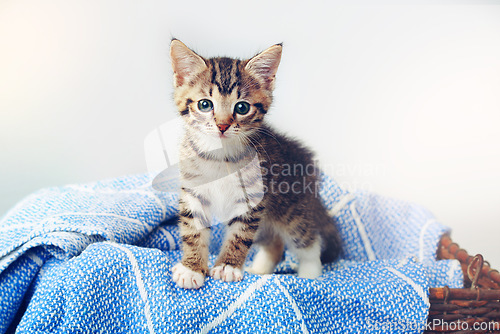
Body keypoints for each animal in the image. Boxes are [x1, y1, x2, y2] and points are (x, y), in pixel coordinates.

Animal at [169, 39, 340, 290]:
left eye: (242, 108)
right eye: (204, 104)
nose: (222, 126)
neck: (220, 156)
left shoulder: (253, 197)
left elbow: (240, 235)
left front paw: (227, 266)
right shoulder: (194, 191)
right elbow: (193, 230)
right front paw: (192, 268)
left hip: (293, 210)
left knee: (308, 239)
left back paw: (310, 274)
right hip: (268, 222)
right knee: (275, 244)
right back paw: (259, 270)